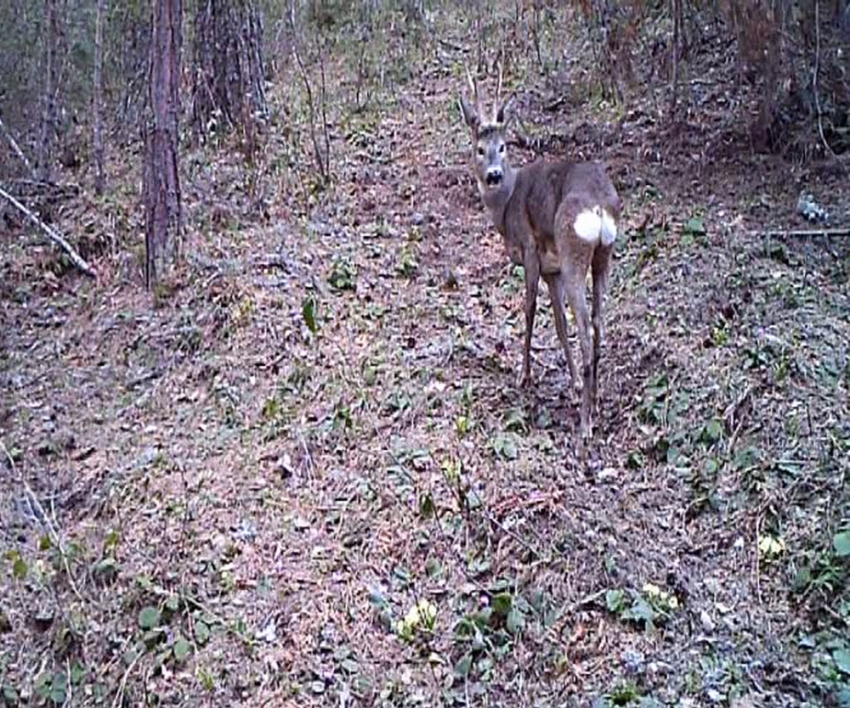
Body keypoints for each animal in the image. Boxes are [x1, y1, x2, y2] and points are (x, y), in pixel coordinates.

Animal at [460, 70, 620, 448]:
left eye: (503, 146)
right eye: (479, 148)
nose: (493, 175)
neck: (506, 206)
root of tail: (599, 208)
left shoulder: (530, 251)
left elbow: (530, 311)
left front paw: (525, 375)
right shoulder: (553, 270)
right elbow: (559, 324)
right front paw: (574, 382)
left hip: (574, 249)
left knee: (585, 329)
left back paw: (585, 425)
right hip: (602, 256)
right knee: (598, 322)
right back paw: (595, 399)